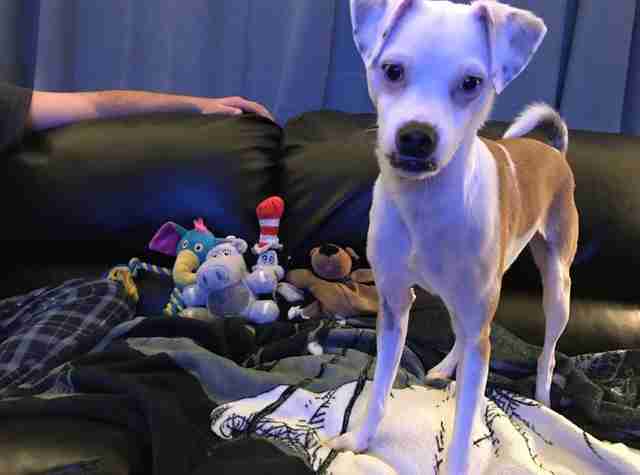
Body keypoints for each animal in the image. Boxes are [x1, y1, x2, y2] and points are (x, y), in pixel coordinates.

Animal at [328, 0, 584, 475]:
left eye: (471, 83)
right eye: (392, 70)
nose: (417, 137)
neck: (424, 205)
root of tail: (553, 151)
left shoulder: (479, 330)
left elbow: (466, 426)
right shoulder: (393, 306)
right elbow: (378, 391)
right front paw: (361, 440)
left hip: (557, 286)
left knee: (547, 351)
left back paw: (542, 396)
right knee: (463, 337)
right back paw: (446, 365)